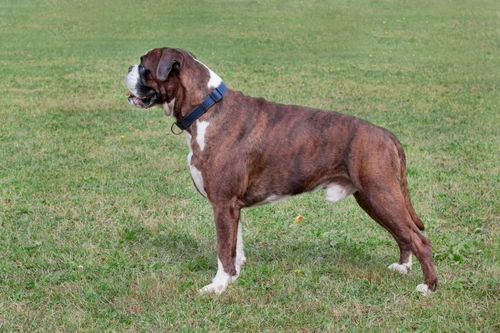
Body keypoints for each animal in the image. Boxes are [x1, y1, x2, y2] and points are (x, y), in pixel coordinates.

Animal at [125, 46, 438, 294]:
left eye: (143, 66)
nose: (127, 68)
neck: (205, 108)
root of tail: (386, 134)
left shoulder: (223, 204)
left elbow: (223, 251)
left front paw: (218, 287)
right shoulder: (232, 207)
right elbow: (235, 246)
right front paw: (234, 278)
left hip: (381, 195)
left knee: (419, 238)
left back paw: (428, 286)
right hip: (374, 199)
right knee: (403, 234)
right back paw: (403, 267)